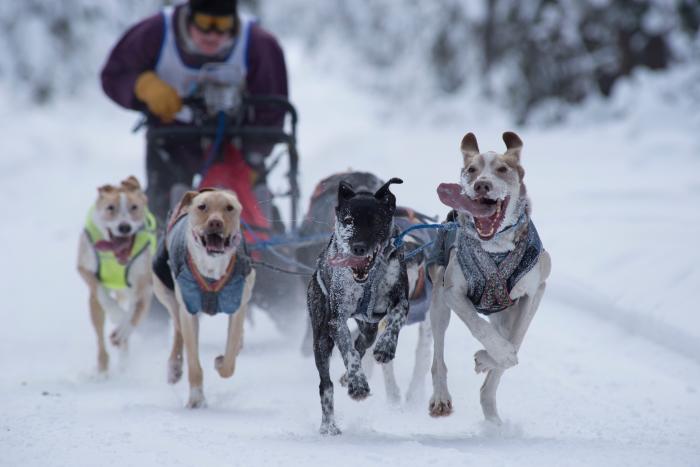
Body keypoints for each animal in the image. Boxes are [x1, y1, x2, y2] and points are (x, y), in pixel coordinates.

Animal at [77, 177, 157, 374]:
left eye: (134, 207)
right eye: (110, 208)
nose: (124, 226)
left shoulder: (145, 284)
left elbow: (136, 312)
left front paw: (123, 330)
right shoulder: (85, 269)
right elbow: (102, 294)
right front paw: (116, 315)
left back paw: (123, 359)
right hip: (94, 306)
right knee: (99, 335)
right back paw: (103, 368)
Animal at [152, 189, 256, 410]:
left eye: (229, 207)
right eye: (202, 207)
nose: (215, 222)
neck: (212, 269)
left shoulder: (237, 304)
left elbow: (230, 358)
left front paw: (222, 361)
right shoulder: (189, 309)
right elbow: (193, 361)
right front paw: (196, 399)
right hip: (166, 291)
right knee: (178, 329)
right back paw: (174, 367)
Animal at [308, 177, 410, 436]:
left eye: (375, 221)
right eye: (348, 221)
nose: (358, 247)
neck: (369, 279)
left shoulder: (402, 300)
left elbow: (394, 320)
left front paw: (385, 348)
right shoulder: (336, 320)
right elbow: (350, 353)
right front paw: (357, 384)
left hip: (368, 326)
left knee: (363, 342)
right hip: (321, 338)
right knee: (326, 384)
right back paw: (329, 425)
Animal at [426, 132, 552, 424]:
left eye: (502, 169)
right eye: (471, 170)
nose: (482, 185)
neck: (495, 248)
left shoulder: (534, 292)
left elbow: (515, 345)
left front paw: (487, 359)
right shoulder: (452, 292)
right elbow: (480, 327)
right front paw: (497, 352)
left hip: (506, 313)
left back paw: (491, 410)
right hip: (439, 305)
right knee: (438, 357)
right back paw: (441, 397)